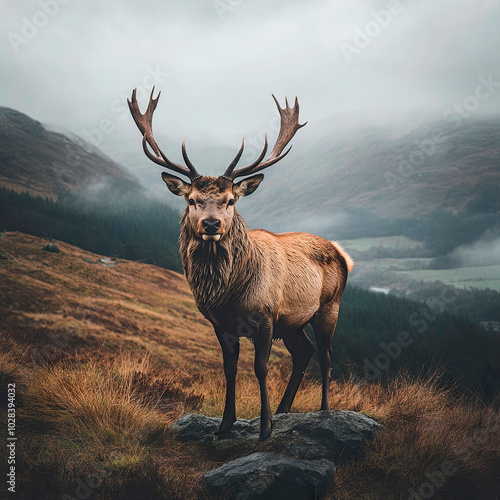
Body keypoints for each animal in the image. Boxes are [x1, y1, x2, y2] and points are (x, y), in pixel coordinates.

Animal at [127, 87, 354, 442]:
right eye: (191, 199)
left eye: (230, 200)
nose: (211, 224)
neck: (229, 296)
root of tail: (343, 253)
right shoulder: (220, 324)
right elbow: (229, 369)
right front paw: (225, 425)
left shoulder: (266, 317)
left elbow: (260, 368)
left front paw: (264, 428)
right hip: (293, 323)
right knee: (304, 352)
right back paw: (284, 410)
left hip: (329, 307)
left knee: (327, 356)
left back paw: (323, 411)